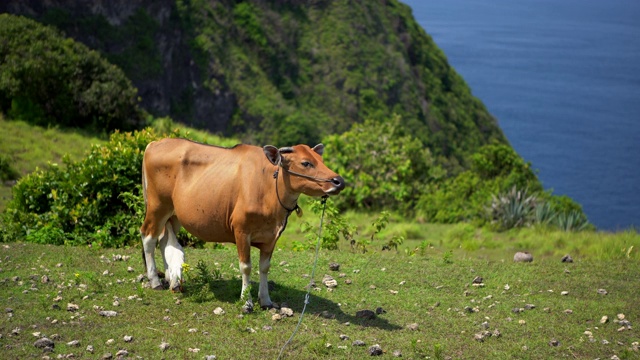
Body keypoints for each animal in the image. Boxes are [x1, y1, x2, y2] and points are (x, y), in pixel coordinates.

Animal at [141, 138, 344, 310]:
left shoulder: (271, 237)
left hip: (174, 214)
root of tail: (153, 143)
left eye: (321, 160)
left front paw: (266, 300)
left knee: (164, 240)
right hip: (157, 206)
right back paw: (155, 280)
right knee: (148, 237)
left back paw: (172, 280)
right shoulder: (241, 232)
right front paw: (247, 302)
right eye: (306, 163)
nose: (339, 181)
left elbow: (264, 267)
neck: (269, 188)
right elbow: (246, 267)